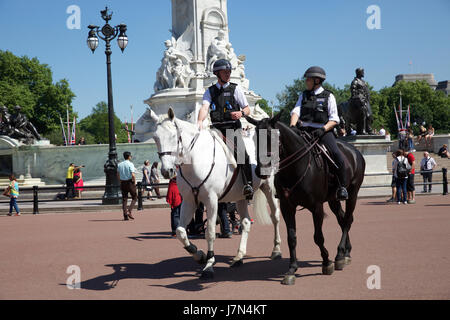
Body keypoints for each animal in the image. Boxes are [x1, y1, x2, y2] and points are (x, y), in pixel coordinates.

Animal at [149, 107, 282, 278]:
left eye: (174, 136)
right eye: (155, 137)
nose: (167, 171)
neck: (196, 160)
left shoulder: (211, 201)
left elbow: (210, 232)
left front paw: (209, 264)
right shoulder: (189, 201)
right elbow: (180, 231)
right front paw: (198, 254)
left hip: (269, 188)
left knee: (275, 216)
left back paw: (276, 250)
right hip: (241, 196)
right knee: (245, 222)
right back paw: (239, 257)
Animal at [246, 115, 366, 284]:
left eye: (272, 136)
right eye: (255, 138)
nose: (260, 170)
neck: (295, 168)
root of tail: (355, 151)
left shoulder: (316, 207)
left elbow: (318, 237)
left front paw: (326, 262)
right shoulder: (287, 207)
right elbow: (292, 238)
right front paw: (291, 269)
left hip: (352, 194)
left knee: (348, 219)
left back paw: (339, 255)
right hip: (333, 200)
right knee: (343, 220)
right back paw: (345, 253)